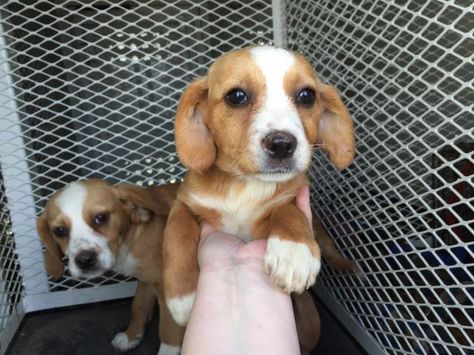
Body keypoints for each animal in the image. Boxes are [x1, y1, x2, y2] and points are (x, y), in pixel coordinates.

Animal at [36, 181, 184, 355]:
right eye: (59, 231)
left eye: (101, 218)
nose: (85, 260)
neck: (133, 238)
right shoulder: (147, 280)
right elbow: (139, 307)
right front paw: (131, 336)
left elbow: (168, 329)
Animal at [165, 46, 354, 328]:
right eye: (237, 96)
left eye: (307, 96)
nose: (282, 144)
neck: (245, 184)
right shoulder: (184, 202)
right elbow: (178, 234)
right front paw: (183, 297)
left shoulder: (291, 196)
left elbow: (288, 212)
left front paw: (293, 253)